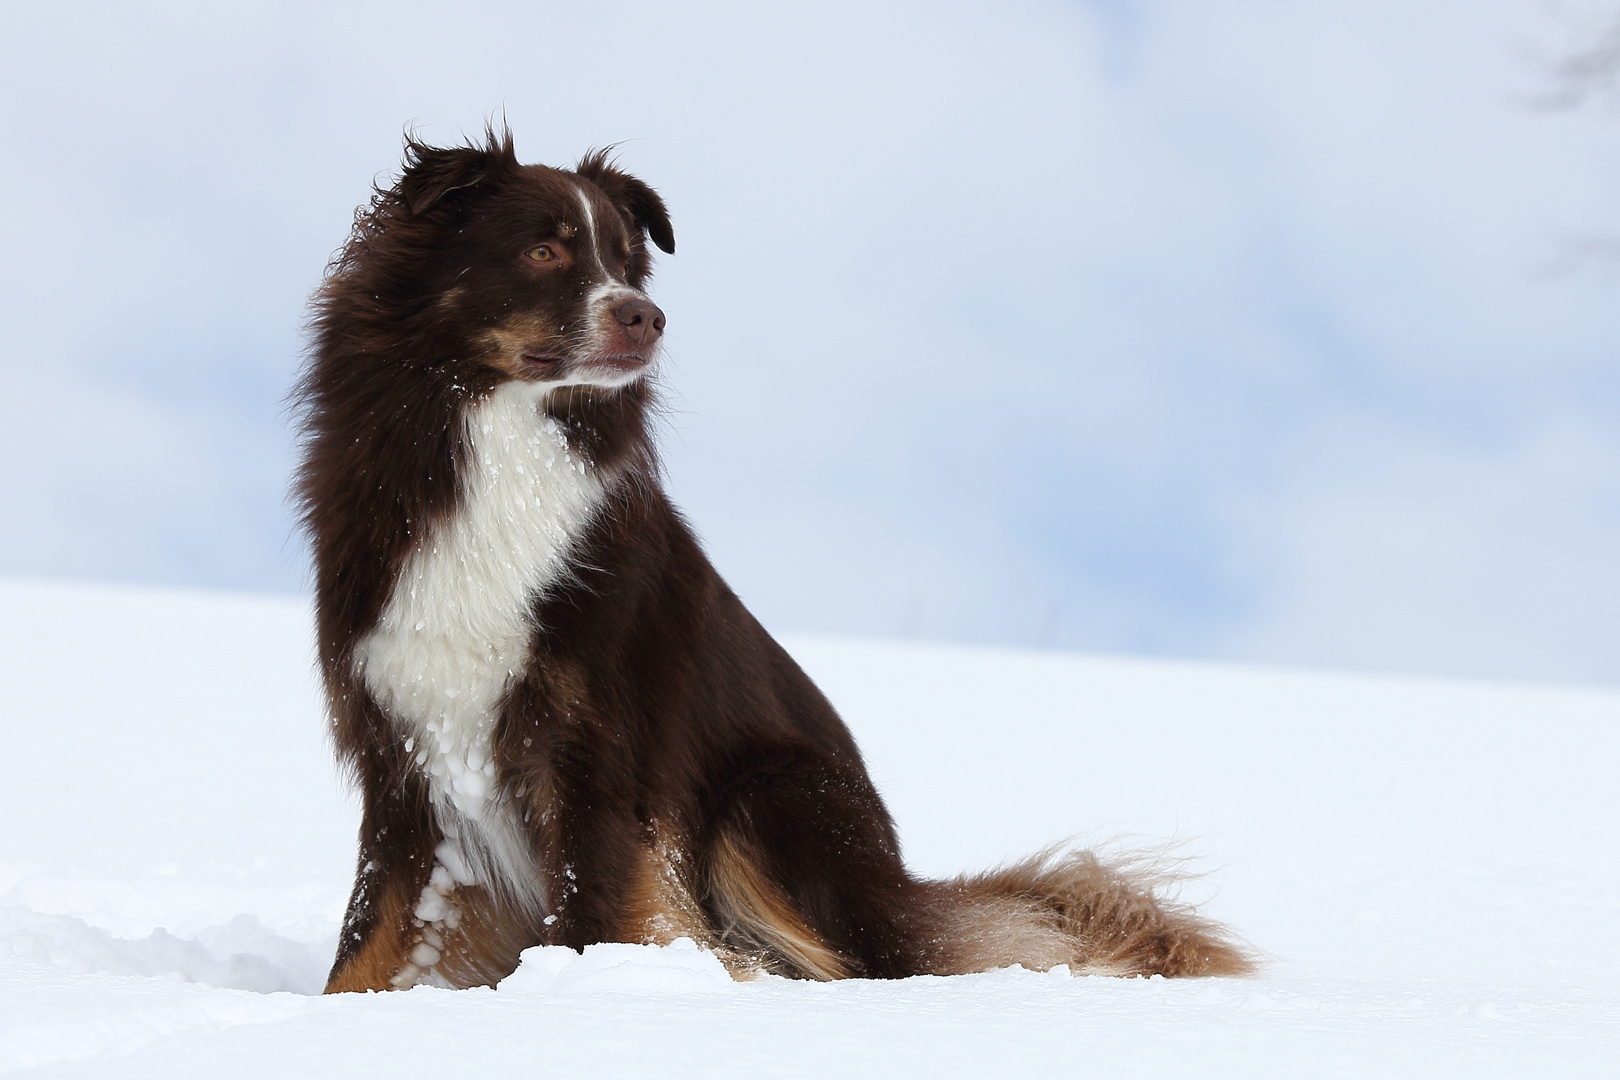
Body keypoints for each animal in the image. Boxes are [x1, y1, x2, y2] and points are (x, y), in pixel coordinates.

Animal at [294, 131, 1250, 990]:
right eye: (541, 249)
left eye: (629, 264)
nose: (648, 317)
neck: (500, 451)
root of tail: (898, 883)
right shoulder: (404, 756)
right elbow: (368, 934)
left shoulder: (597, 757)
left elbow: (587, 916)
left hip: (771, 799)